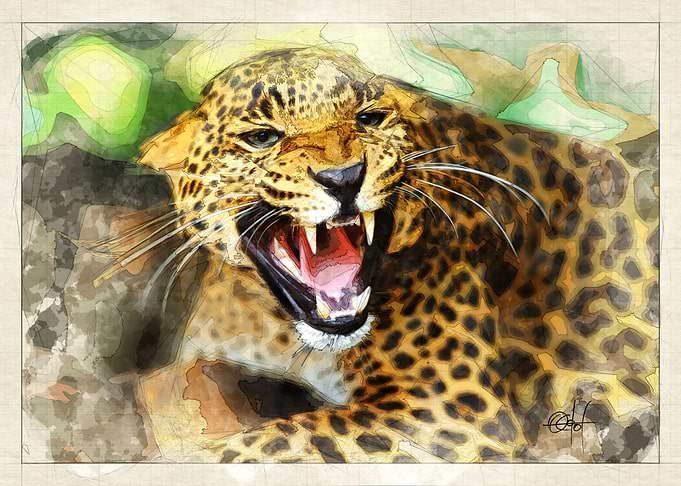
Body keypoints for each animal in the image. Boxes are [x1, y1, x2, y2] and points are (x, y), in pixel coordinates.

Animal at [123, 47, 659, 463]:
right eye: (263, 137)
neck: (276, 328)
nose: (343, 177)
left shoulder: (452, 414)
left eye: (369, 119)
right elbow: (178, 388)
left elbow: (276, 440)